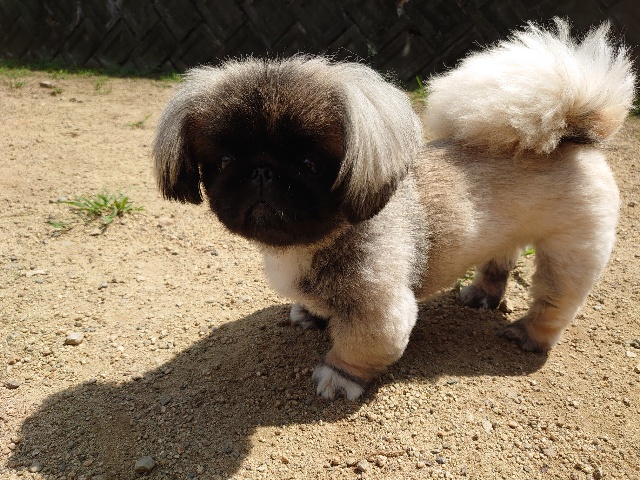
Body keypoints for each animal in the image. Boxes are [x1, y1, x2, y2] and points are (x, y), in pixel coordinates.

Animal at [153, 19, 636, 400]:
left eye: (310, 164)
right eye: (222, 162)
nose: (262, 171)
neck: (308, 245)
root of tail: (571, 134)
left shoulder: (379, 311)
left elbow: (356, 349)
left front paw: (338, 378)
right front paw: (311, 315)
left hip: (570, 251)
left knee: (555, 301)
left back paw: (529, 335)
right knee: (499, 262)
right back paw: (482, 295)